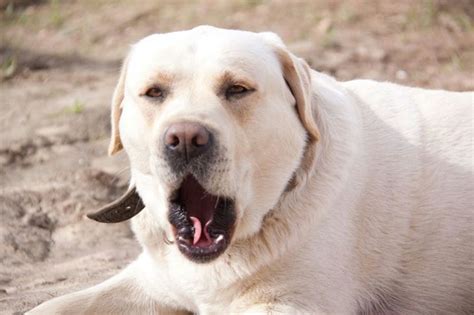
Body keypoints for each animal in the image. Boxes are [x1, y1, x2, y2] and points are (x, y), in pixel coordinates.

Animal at [26, 26, 474, 315]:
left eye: (237, 89)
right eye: (154, 92)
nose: (184, 138)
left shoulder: (291, 304)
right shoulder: (152, 279)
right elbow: (51, 306)